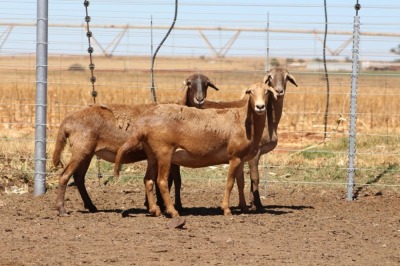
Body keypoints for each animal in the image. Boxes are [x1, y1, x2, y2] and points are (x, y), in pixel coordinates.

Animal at [52, 73, 219, 216]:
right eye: (189, 84)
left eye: (207, 84)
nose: (199, 99)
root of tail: (67, 121)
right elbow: (173, 181)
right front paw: (169, 206)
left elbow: (166, 180)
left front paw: (154, 205)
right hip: (81, 149)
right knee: (65, 176)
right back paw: (62, 210)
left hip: (87, 152)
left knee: (79, 178)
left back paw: (92, 206)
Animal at [112, 82, 276, 217]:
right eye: (250, 92)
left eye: (267, 92)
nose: (260, 107)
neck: (243, 121)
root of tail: (144, 125)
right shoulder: (234, 157)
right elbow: (229, 183)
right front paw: (226, 209)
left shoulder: (241, 158)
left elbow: (240, 183)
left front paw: (244, 208)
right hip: (164, 152)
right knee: (162, 181)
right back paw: (172, 211)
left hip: (152, 154)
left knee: (148, 180)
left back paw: (155, 210)